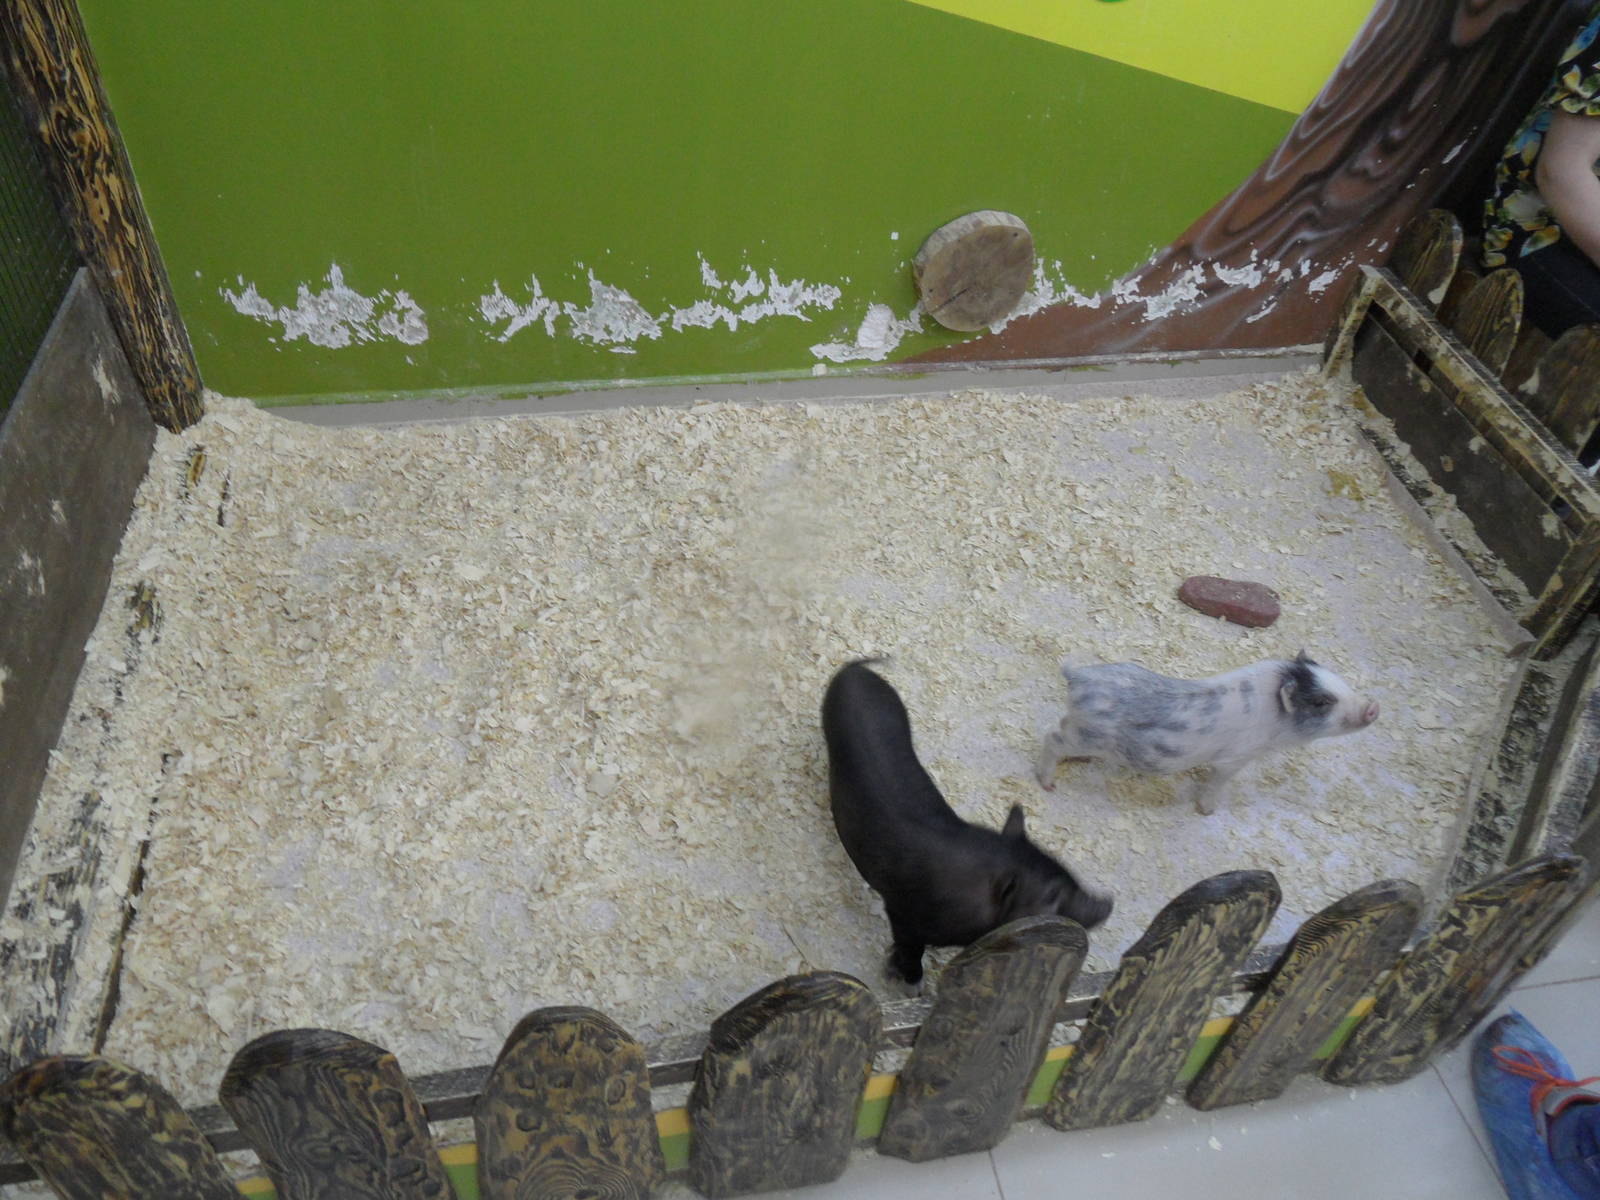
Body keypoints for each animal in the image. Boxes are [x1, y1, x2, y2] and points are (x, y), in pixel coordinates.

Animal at [823, 658, 1112, 986]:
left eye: (1067, 870)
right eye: (1052, 895)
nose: (1108, 902)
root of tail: (853, 669)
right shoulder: (902, 913)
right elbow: (910, 948)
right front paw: (910, 984)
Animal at [1035, 652, 1379, 816]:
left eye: (1341, 681)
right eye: (1322, 702)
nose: (1373, 706)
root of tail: (1078, 677)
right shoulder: (1235, 759)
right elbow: (1218, 782)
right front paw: (1208, 811)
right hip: (1086, 733)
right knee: (1051, 738)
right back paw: (1048, 785)